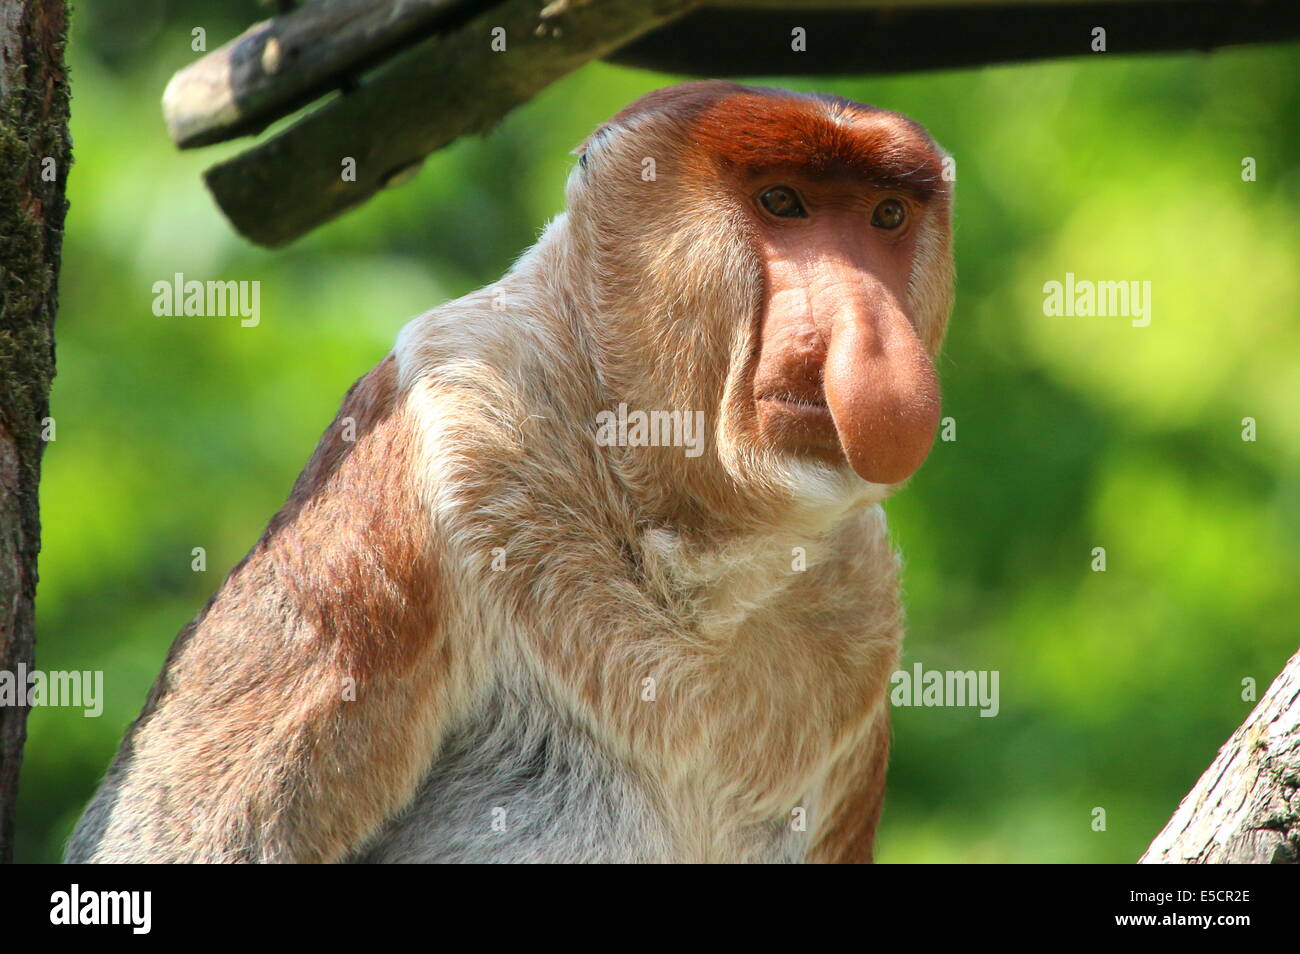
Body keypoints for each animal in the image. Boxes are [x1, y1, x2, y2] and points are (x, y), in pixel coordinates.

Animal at [65, 82, 951, 868]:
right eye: (782, 202)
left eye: (887, 217)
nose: (868, 328)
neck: (684, 537)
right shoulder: (448, 426)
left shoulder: (863, 595)